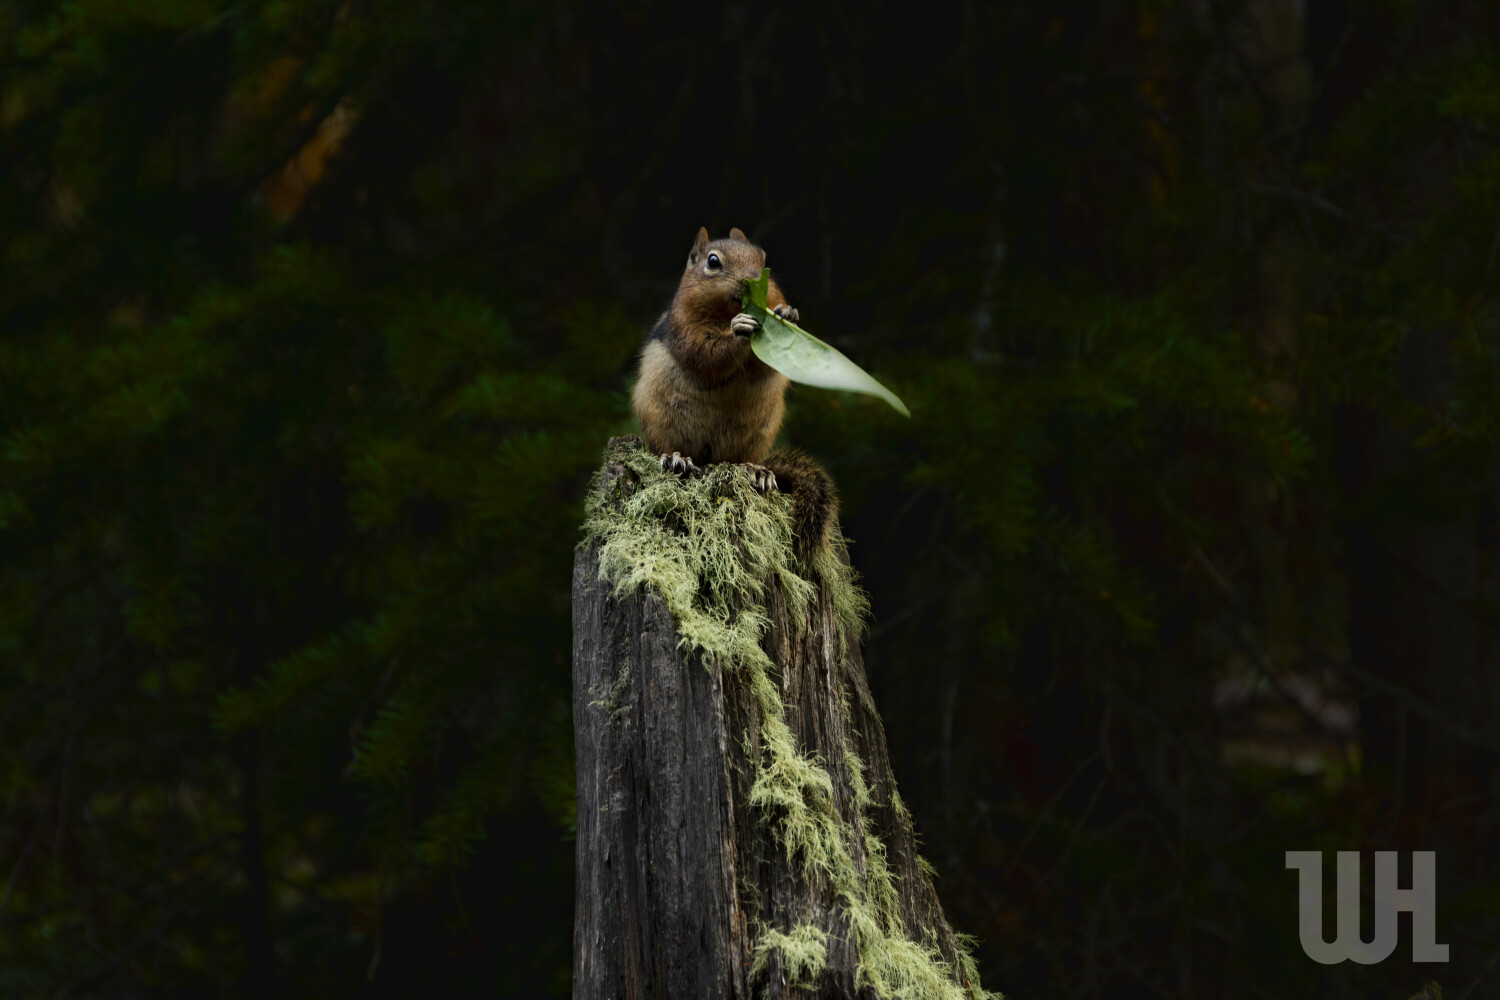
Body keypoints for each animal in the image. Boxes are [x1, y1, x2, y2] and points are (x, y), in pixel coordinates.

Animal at [632, 226, 838, 557]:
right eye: (713, 261)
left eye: (763, 259)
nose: (752, 280)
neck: (727, 311)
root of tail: (710, 461)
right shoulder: (685, 325)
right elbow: (706, 355)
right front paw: (739, 329)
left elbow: (766, 365)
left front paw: (787, 313)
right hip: (660, 419)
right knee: (666, 447)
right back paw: (678, 459)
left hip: (756, 433)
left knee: (741, 460)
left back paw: (757, 471)